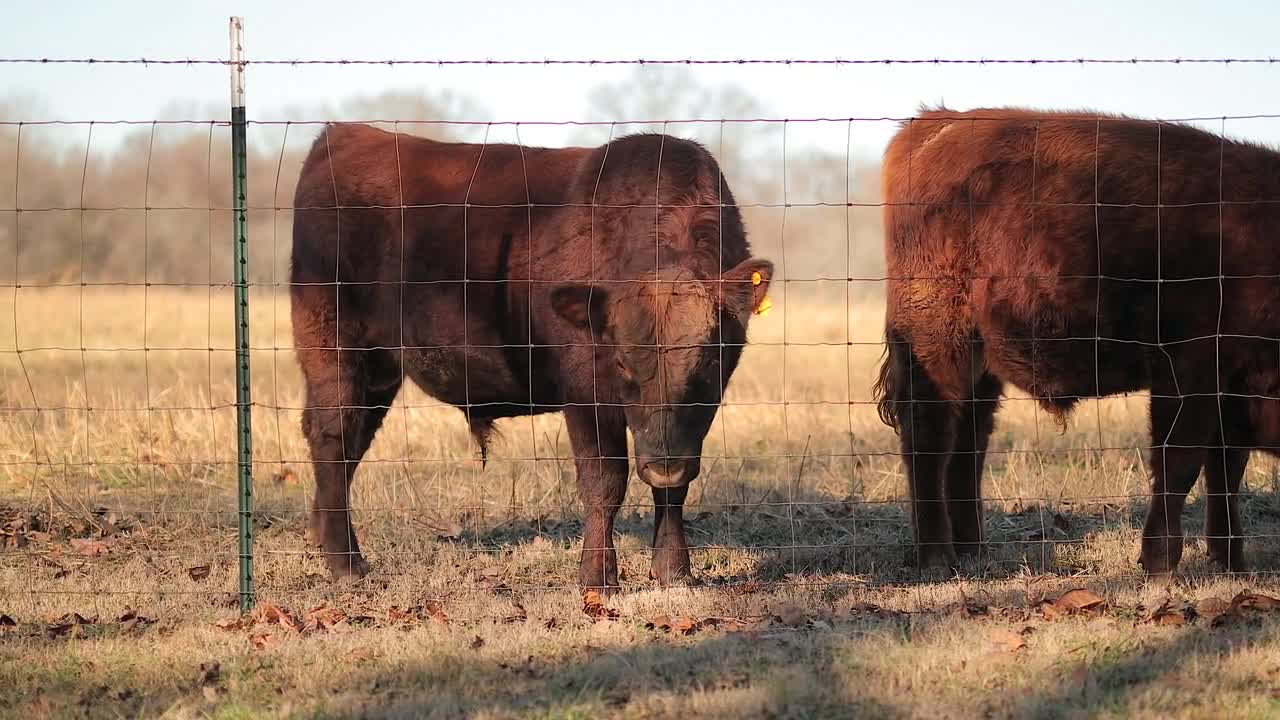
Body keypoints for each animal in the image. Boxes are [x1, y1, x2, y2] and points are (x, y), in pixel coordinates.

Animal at [290, 122, 768, 591]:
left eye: (707, 362)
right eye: (622, 363)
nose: (665, 465)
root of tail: (341, 134)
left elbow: (674, 489)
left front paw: (673, 570)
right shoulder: (585, 394)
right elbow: (604, 481)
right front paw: (598, 578)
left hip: (379, 368)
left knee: (352, 441)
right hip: (333, 348)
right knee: (334, 436)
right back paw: (347, 563)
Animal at [870, 105, 1280, 576]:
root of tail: (937, 122)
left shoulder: (1231, 387)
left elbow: (1224, 470)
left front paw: (1230, 561)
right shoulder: (1189, 375)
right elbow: (1180, 463)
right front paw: (1160, 562)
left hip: (980, 363)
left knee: (968, 442)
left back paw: (973, 549)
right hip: (938, 346)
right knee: (929, 436)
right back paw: (937, 557)